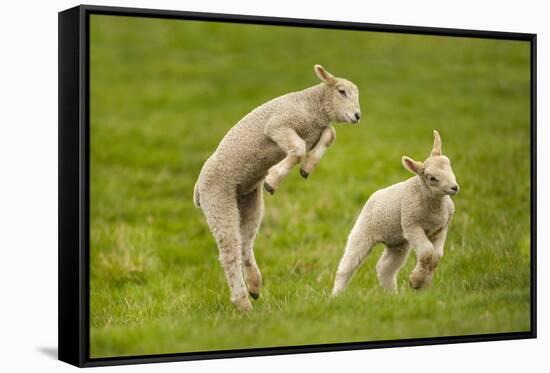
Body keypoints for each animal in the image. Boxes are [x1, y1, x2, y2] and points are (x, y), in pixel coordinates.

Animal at [194, 64, 362, 310]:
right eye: (341, 91)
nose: (358, 116)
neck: (312, 107)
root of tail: (198, 188)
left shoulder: (315, 129)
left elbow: (330, 134)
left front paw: (307, 168)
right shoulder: (277, 126)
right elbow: (299, 148)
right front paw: (273, 179)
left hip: (248, 199)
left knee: (245, 244)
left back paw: (254, 286)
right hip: (217, 198)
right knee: (229, 252)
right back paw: (243, 304)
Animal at [334, 131, 460, 296]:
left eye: (450, 166)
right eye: (431, 177)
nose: (454, 187)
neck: (435, 206)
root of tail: (375, 195)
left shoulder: (441, 228)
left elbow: (436, 256)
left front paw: (422, 282)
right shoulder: (411, 225)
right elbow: (427, 251)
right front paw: (416, 281)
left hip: (397, 243)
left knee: (385, 268)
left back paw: (392, 295)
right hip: (362, 231)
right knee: (347, 265)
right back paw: (336, 295)